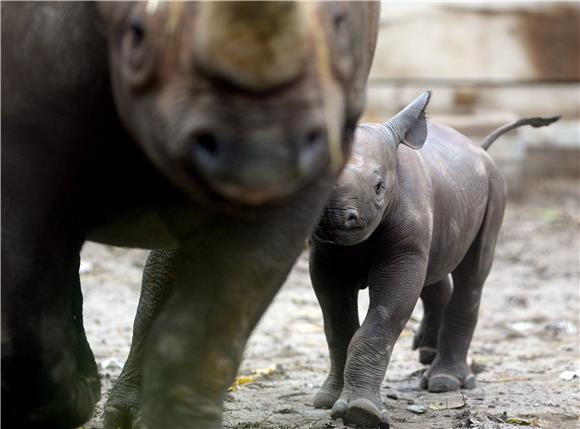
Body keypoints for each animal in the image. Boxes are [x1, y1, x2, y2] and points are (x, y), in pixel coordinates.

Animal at [1, 1, 380, 426]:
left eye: (341, 30)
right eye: (136, 35)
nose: (259, 153)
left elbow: (220, 307)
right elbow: (27, 296)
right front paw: (74, 397)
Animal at [308, 92, 556, 426]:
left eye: (379, 187)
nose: (335, 217)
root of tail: (479, 149)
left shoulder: (403, 248)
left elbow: (383, 318)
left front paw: (362, 413)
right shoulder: (323, 254)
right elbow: (336, 323)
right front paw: (327, 400)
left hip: (495, 186)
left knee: (472, 276)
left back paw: (445, 382)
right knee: (433, 271)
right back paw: (427, 352)